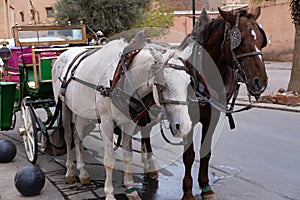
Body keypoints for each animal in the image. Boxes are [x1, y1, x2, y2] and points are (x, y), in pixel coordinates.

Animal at [52, 37, 193, 200]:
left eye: (188, 81)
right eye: (163, 83)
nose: (184, 127)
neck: (121, 78)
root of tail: (63, 54)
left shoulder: (129, 123)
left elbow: (128, 156)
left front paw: (130, 188)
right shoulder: (106, 122)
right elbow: (109, 160)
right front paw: (109, 193)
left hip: (81, 111)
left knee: (77, 137)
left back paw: (83, 173)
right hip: (64, 105)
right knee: (68, 136)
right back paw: (70, 171)